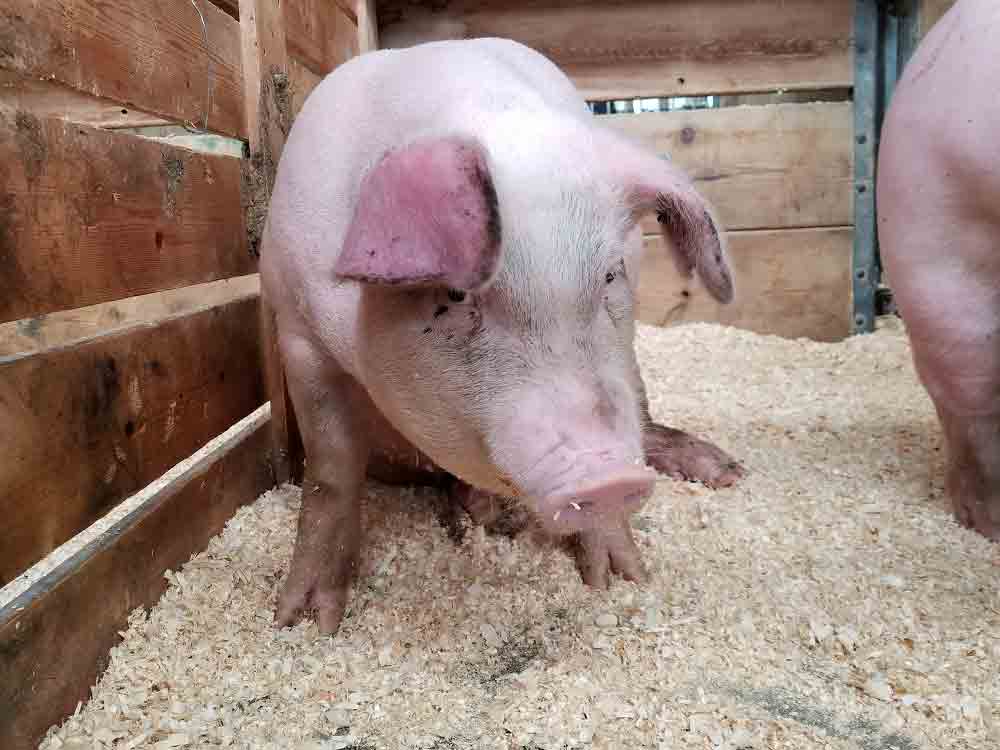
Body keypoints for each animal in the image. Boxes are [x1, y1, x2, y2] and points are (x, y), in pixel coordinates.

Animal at [259, 37, 744, 635]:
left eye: (610, 275)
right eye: (458, 295)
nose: (608, 478)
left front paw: (623, 578)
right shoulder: (295, 325)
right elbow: (331, 468)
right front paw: (302, 622)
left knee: (646, 419)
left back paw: (727, 472)